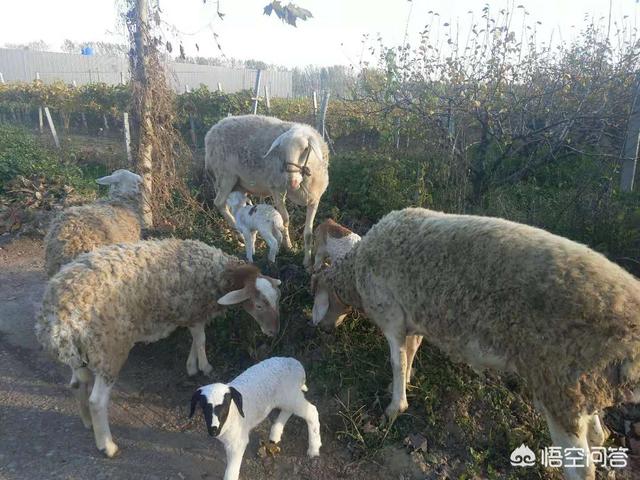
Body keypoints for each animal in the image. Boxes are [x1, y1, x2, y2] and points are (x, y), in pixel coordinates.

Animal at [35, 238, 282, 460]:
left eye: (276, 300)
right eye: (259, 305)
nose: (274, 331)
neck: (220, 273)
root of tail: (56, 319)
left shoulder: (190, 312)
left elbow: (196, 338)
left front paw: (192, 365)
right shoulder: (194, 309)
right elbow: (200, 338)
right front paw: (204, 367)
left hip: (81, 352)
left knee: (77, 384)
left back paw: (87, 421)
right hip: (109, 349)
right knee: (97, 401)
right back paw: (107, 445)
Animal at [189, 356, 320, 480]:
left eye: (225, 405)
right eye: (204, 407)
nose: (213, 431)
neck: (232, 414)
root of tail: (296, 364)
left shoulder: (237, 443)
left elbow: (231, 473)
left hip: (291, 396)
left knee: (312, 411)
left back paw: (314, 449)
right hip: (288, 397)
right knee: (288, 410)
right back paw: (275, 435)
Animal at [204, 113, 330, 270]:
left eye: (305, 148)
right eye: (282, 151)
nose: (292, 181)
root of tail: (213, 130)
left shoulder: (314, 199)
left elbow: (308, 233)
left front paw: (307, 261)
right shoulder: (277, 189)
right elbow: (285, 219)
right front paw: (288, 247)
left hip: (236, 184)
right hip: (226, 176)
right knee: (220, 203)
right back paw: (239, 234)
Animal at [310, 207, 640, 480]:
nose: (321, 330)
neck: (357, 270)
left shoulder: (390, 314)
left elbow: (397, 360)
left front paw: (394, 406)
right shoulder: (414, 318)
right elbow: (411, 351)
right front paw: (407, 381)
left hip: (559, 389)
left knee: (581, 467)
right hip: (584, 387)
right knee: (599, 434)